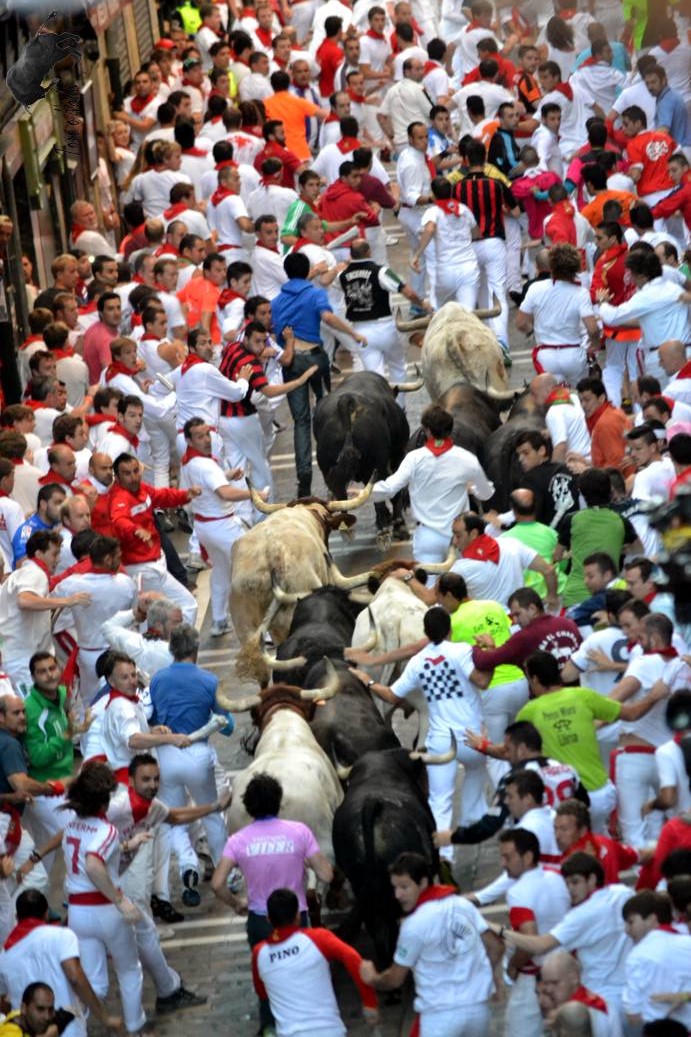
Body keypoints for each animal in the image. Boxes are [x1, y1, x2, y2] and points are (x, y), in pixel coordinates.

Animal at [313, 372, 416, 549]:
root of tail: (347, 401)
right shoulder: (396, 456)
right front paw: (398, 526)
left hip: (328, 469)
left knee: (341, 495)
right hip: (380, 463)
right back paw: (385, 531)